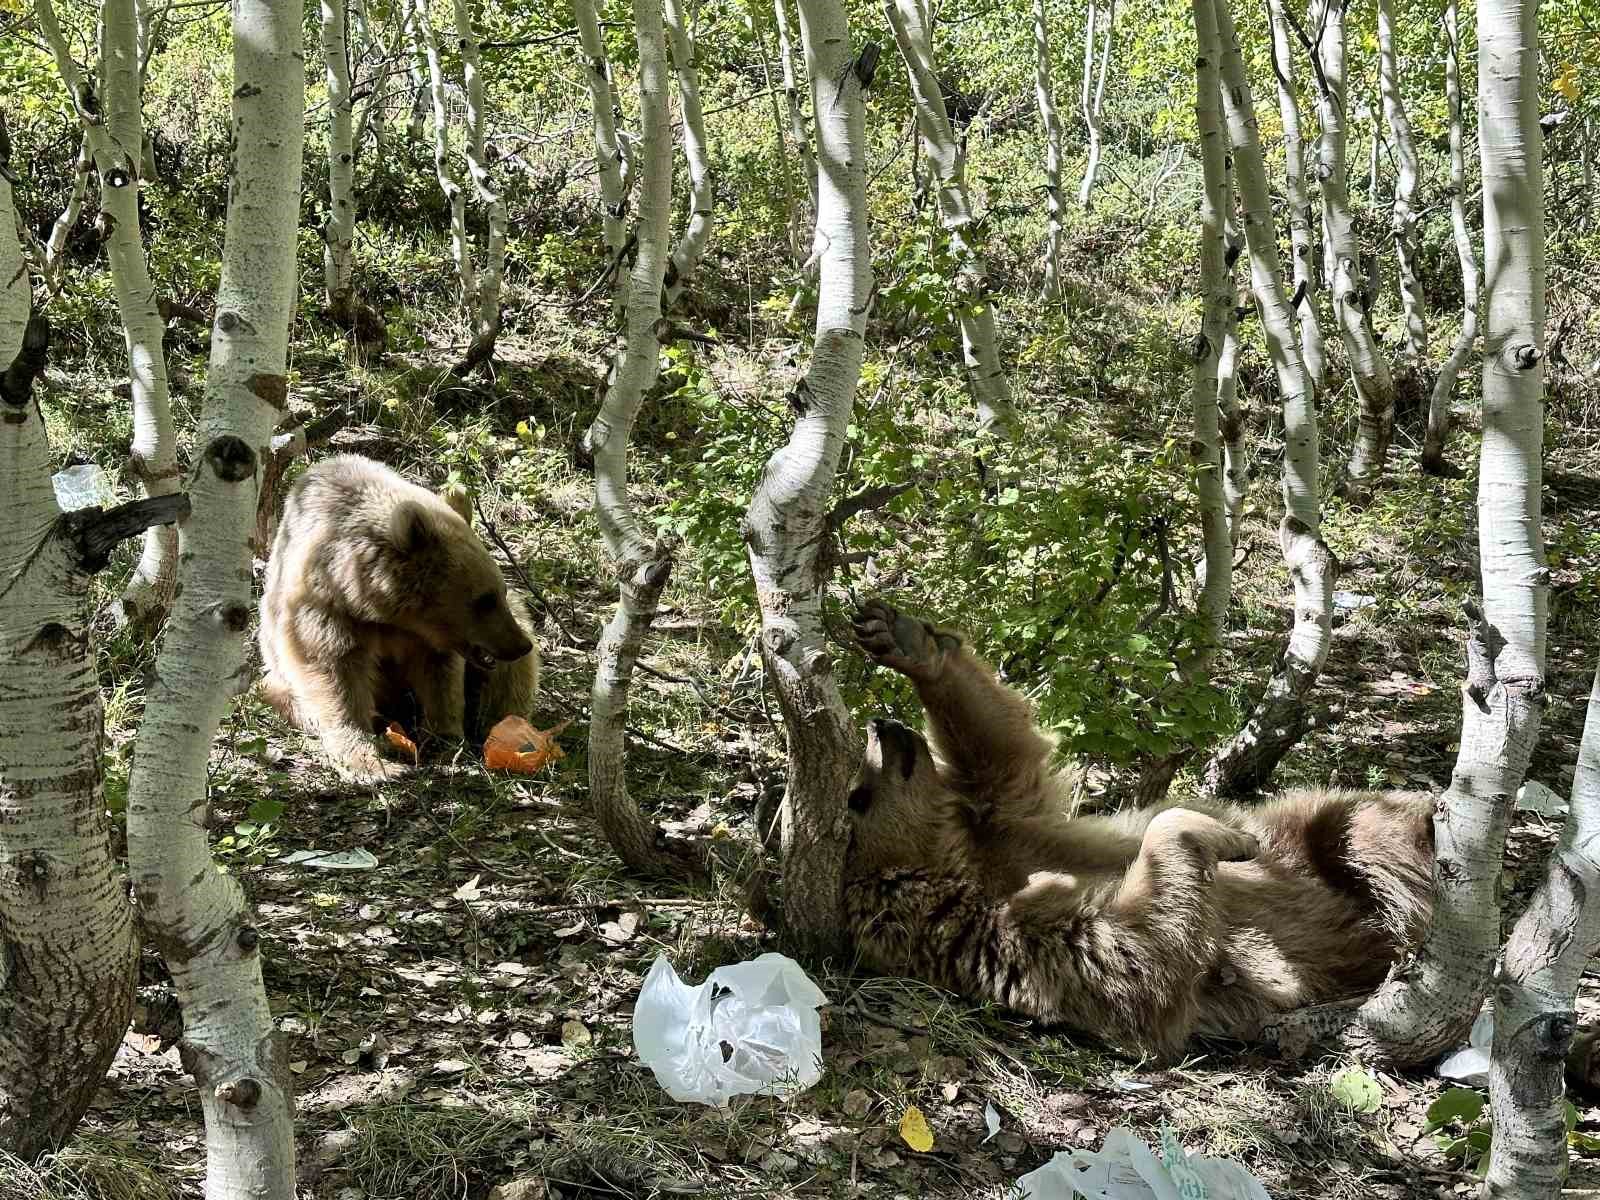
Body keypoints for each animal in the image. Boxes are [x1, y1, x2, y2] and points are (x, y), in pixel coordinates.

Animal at [256, 454, 540, 784]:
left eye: (500, 592)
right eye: (484, 599)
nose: (519, 645)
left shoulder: (428, 639)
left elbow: (441, 677)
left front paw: (444, 741)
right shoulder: (326, 611)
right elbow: (334, 675)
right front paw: (372, 762)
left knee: (511, 680)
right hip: (278, 676)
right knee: (278, 692)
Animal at [844, 601, 1433, 1062]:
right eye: (857, 795)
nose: (881, 727)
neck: (961, 863)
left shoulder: (1014, 825)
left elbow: (1006, 753)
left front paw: (904, 638)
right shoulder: (1007, 940)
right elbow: (1140, 959)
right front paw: (1216, 835)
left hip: (1310, 832)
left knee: (1362, 828)